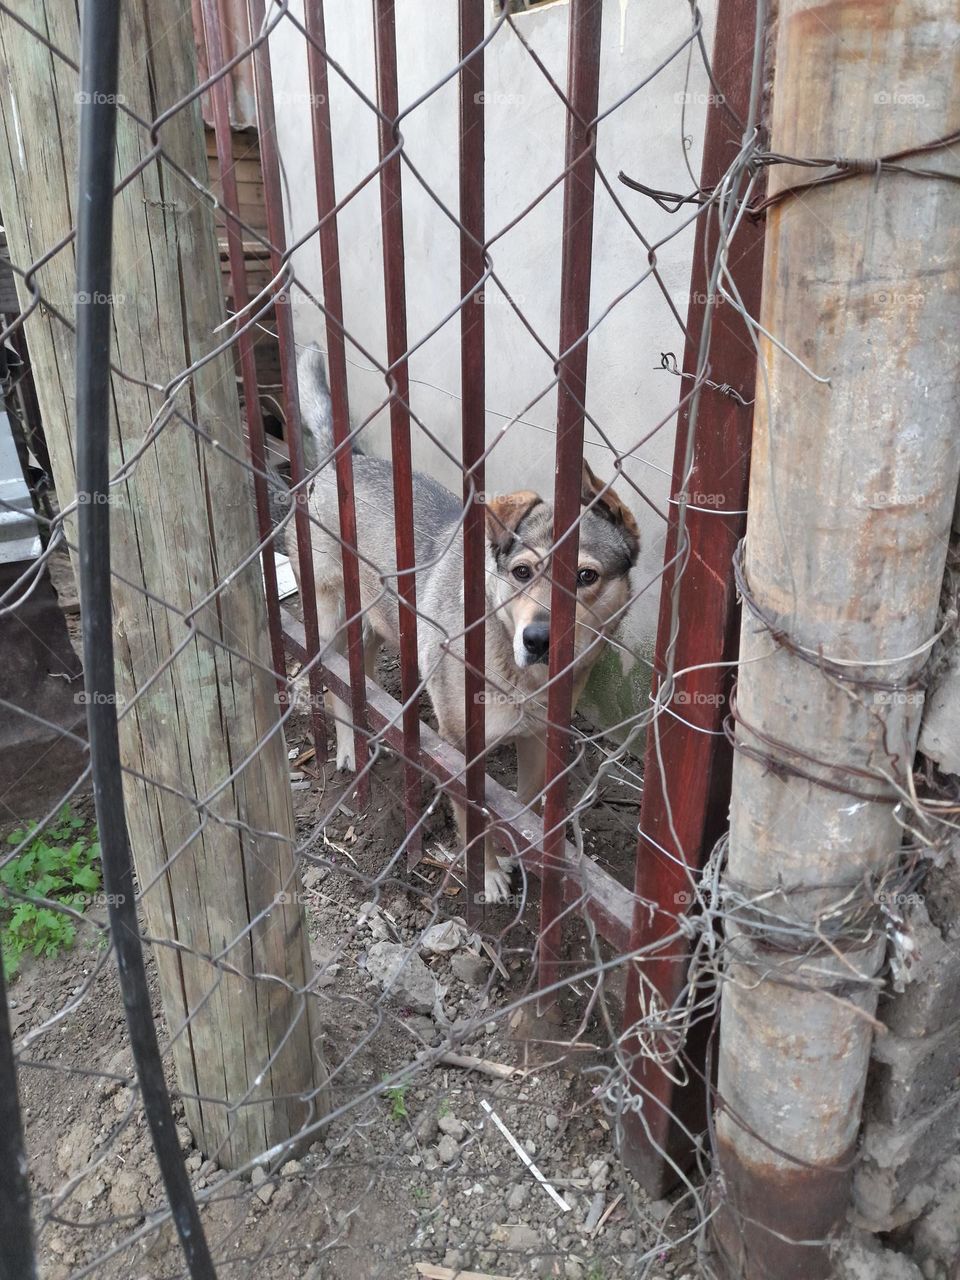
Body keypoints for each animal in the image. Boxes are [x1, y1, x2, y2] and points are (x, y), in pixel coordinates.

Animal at [289, 343, 642, 901]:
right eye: (521, 572)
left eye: (586, 576)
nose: (539, 640)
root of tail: (344, 460)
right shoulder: (458, 749)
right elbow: (471, 815)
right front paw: (490, 872)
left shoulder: (538, 740)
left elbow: (522, 810)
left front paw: (518, 856)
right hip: (327, 622)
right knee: (332, 680)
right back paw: (347, 749)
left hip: (374, 626)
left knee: (358, 679)